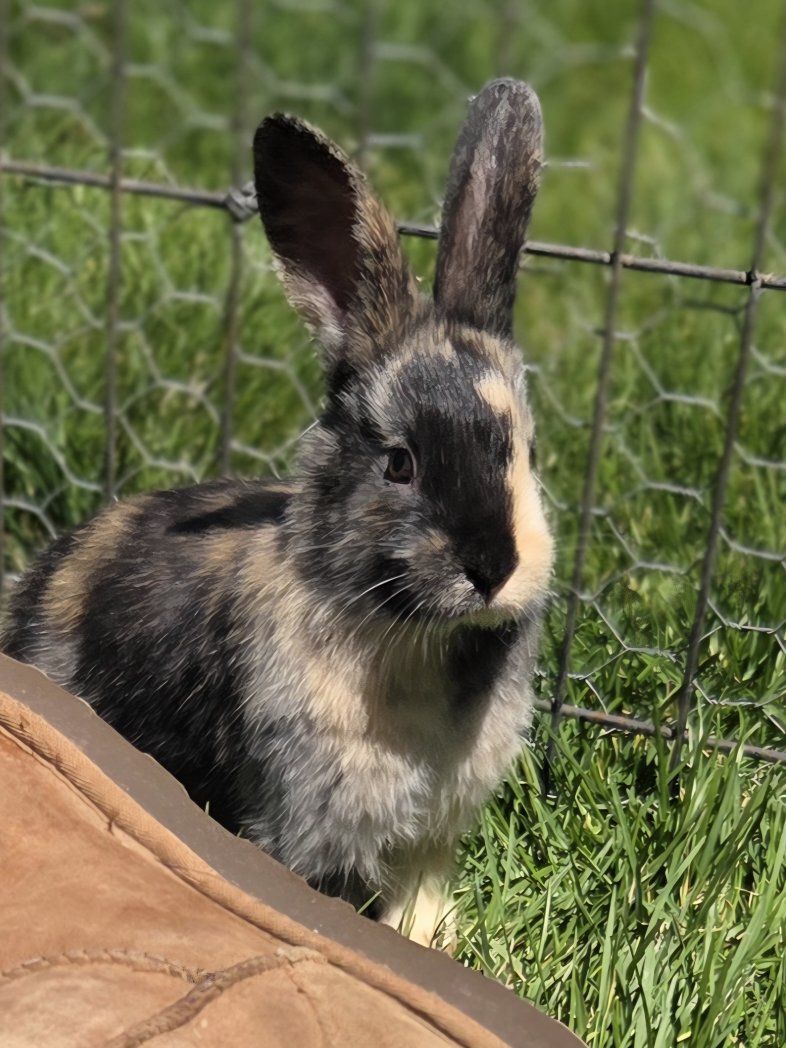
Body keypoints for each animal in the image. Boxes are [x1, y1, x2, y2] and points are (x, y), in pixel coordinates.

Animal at [1, 78, 553, 949]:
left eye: (522, 450)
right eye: (399, 461)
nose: (492, 566)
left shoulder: (430, 835)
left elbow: (418, 899)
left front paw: (429, 944)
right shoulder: (302, 814)